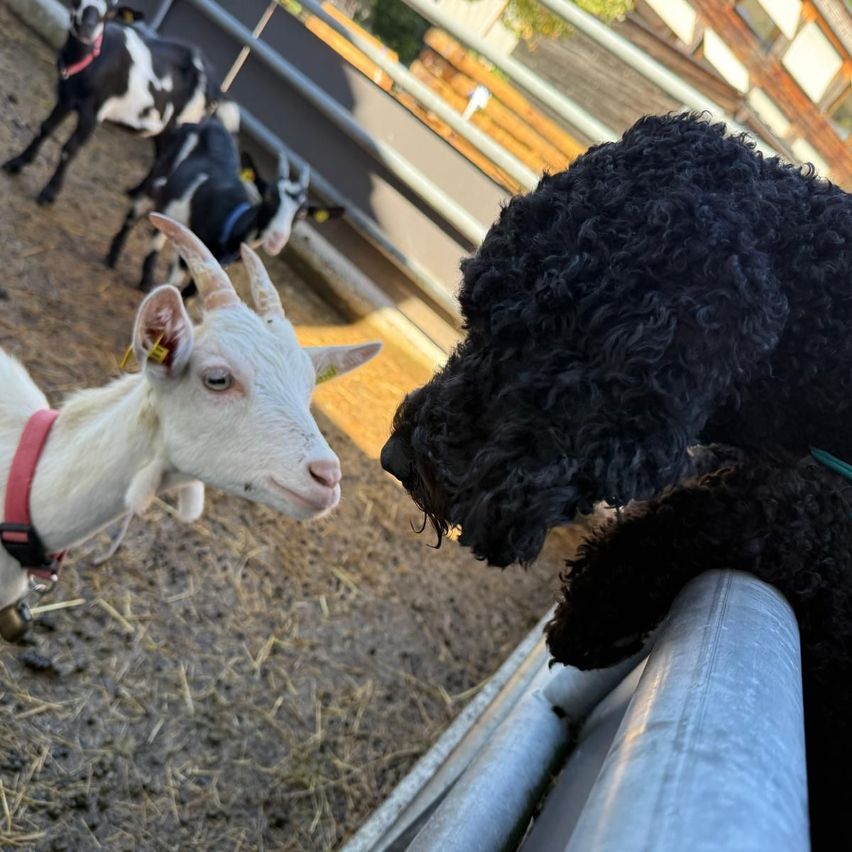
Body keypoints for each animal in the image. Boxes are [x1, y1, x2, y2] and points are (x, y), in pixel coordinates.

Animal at [2, 0, 238, 205]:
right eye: (77, 2)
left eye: (108, 13)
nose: (87, 30)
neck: (91, 61)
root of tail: (218, 88)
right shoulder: (66, 97)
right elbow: (45, 128)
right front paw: (16, 163)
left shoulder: (94, 112)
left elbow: (70, 148)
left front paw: (49, 194)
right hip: (165, 128)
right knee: (160, 157)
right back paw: (134, 191)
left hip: (186, 124)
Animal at [106, 117, 343, 294]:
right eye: (268, 196)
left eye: (302, 213)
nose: (277, 240)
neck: (230, 221)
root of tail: (209, 122)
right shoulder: (189, 257)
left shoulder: (220, 264)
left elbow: (191, 294)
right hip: (159, 176)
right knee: (134, 213)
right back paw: (111, 259)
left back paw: (146, 280)